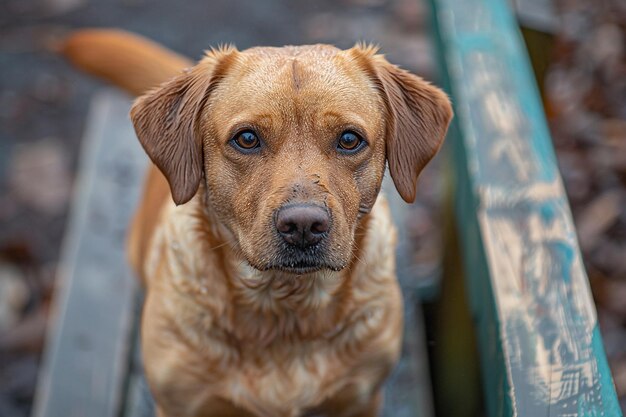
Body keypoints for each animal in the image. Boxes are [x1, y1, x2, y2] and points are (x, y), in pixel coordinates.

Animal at [61, 29, 450, 416]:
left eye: (350, 139)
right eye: (247, 138)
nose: (303, 225)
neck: (284, 311)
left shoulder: (360, 399)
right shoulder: (180, 404)